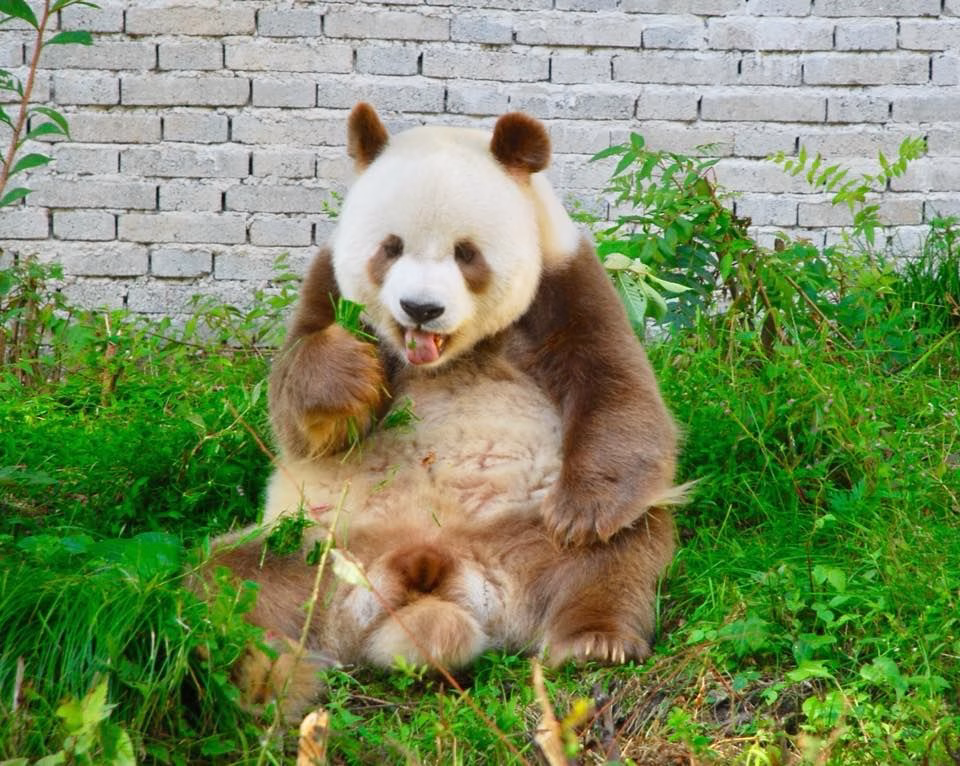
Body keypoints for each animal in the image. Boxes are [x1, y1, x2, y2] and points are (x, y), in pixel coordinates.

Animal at [211, 103, 681, 716]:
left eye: (466, 252)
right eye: (390, 247)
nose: (420, 307)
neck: (448, 355)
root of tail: (428, 570)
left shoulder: (565, 283)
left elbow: (617, 388)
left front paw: (581, 512)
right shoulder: (326, 281)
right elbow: (297, 413)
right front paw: (348, 373)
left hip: (524, 539)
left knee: (621, 550)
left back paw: (595, 641)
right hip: (316, 549)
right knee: (226, 583)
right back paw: (261, 670)